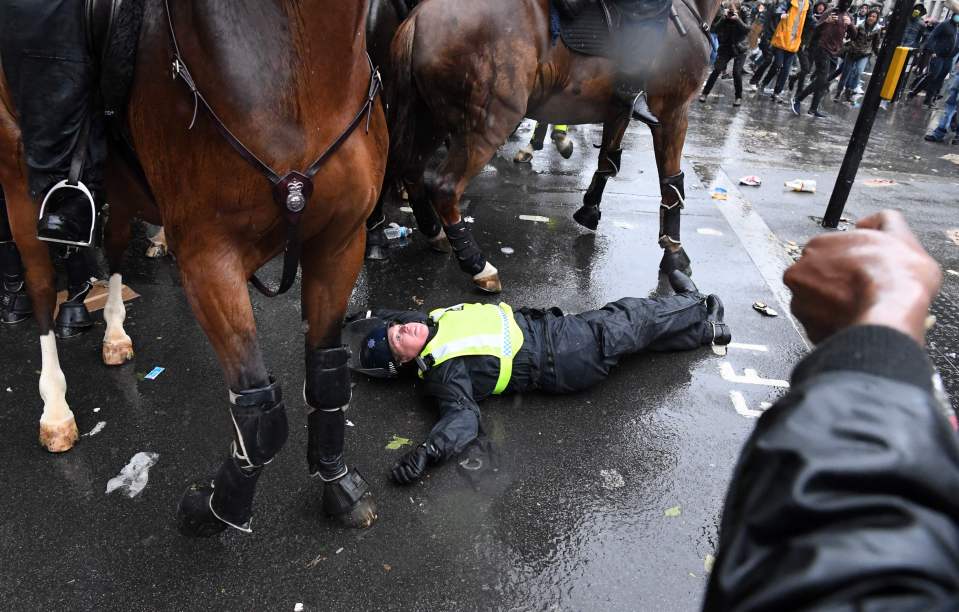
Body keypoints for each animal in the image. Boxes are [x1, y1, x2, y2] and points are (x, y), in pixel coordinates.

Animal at [3, 0, 388, 536]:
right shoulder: (209, 258)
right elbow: (258, 410)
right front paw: (214, 509)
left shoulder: (340, 241)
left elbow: (327, 375)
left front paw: (337, 482)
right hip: (18, 181)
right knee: (41, 289)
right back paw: (56, 410)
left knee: (115, 249)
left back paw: (115, 334)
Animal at [386, 0, 716, 292]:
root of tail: (420, 15)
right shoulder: (674, 114)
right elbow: (671, 184)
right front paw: (674, 255)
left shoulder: (620, 112)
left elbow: (607, 162)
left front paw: (589, 209)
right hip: (488, 123)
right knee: (444, 186)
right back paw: (478, 266)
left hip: (429, 117)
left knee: (412, 169)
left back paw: (434, 233)